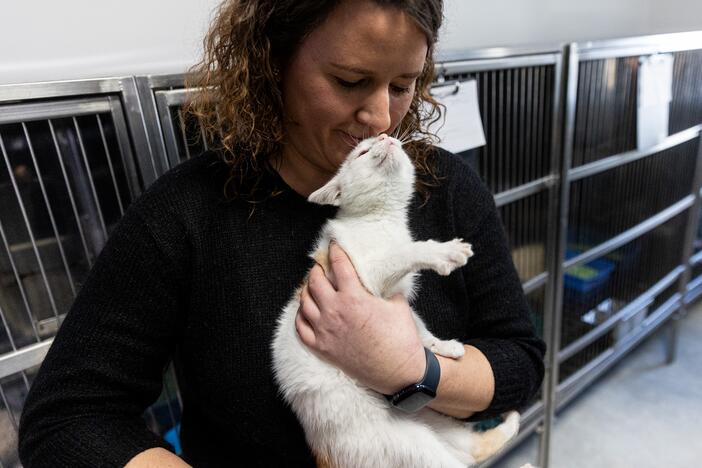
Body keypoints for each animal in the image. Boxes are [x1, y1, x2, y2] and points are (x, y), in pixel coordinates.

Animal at [272, 133, 520, 466]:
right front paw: (442, 252)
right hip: (412, 444)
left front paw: (441, 346)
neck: (383, 220)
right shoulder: (367, 275)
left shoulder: (398, 295)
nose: (384, 136)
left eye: (385, 139)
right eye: (362, 152)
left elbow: (418, 327)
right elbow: (405, 252)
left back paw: (511, 422)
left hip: (436, 420)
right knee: (461, 458)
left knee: (473, 449)